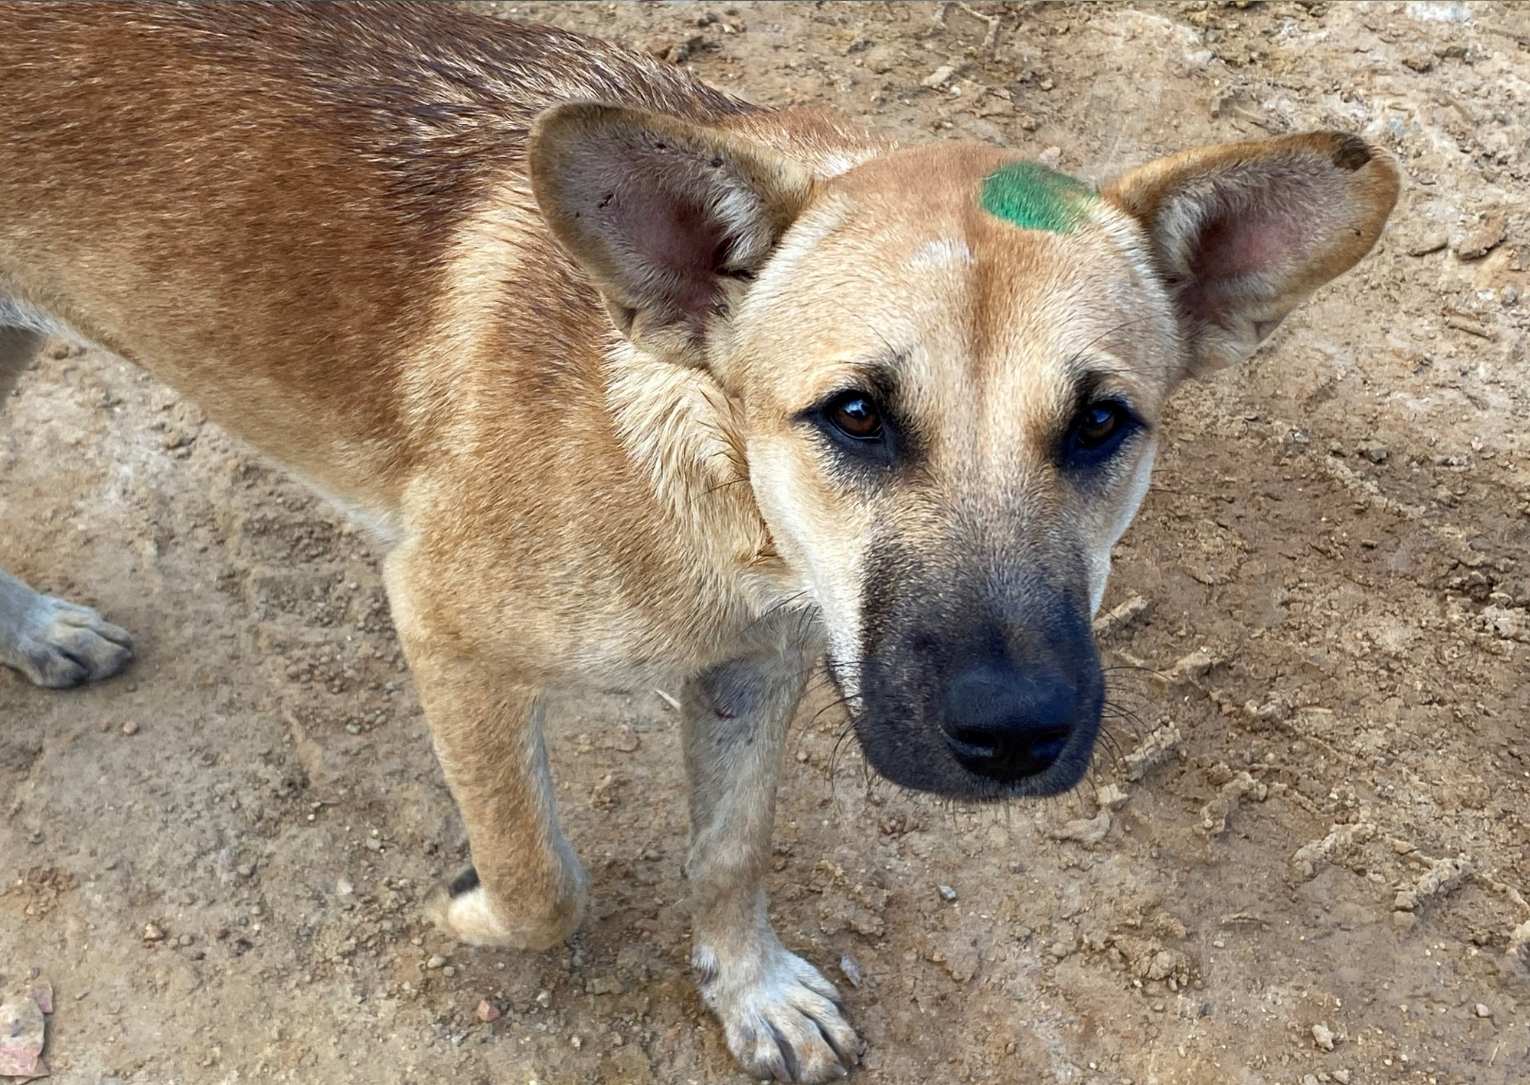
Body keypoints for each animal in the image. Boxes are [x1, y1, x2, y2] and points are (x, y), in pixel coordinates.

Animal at [0, 4, 1395, 1077]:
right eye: (856, 414)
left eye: (1104, 423)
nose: (1012, 736)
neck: (708, 487)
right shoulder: (446, 630)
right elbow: (541, 879)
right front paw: (474, 905)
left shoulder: (759, 661)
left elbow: (729, 848)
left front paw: (749, 987)